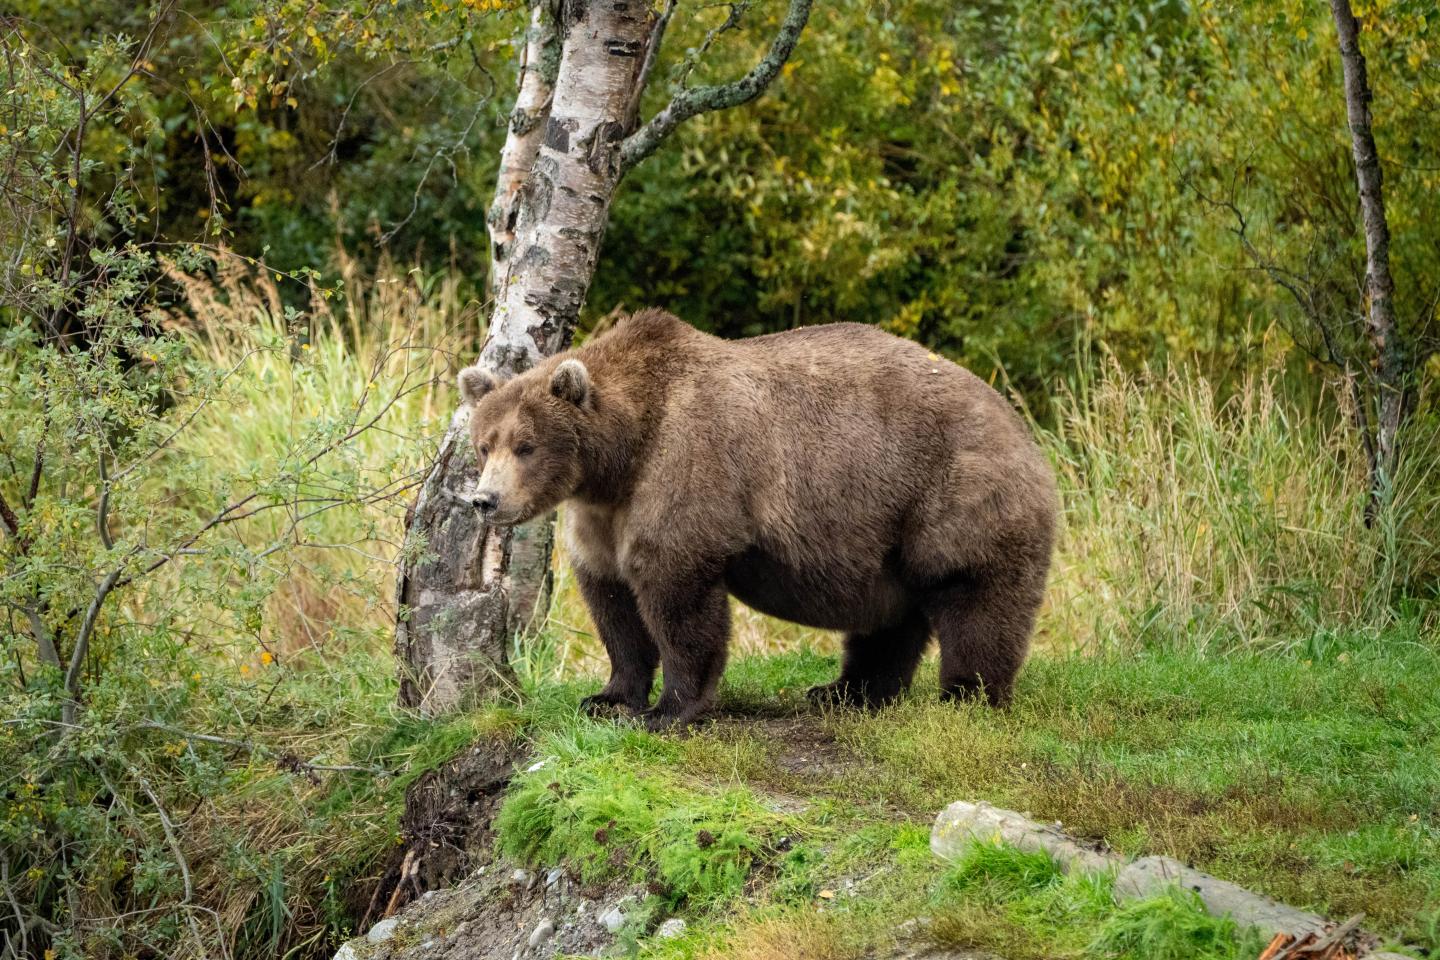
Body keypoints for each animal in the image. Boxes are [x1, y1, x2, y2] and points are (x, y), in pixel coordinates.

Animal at [457, 308, 1059, 728]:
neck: (620, 457)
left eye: (526, 446)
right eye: (484, 444)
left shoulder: (688, 467)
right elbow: (612, 601)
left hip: (955, 494)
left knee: (976, 599)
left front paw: (667, 710)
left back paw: (966, 696)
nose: (485, 500)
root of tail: (1021, 428)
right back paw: (845, 691)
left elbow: (677, 595)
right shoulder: (600, 515)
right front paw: (607, 698)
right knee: (890, 617)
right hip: (886, 532)